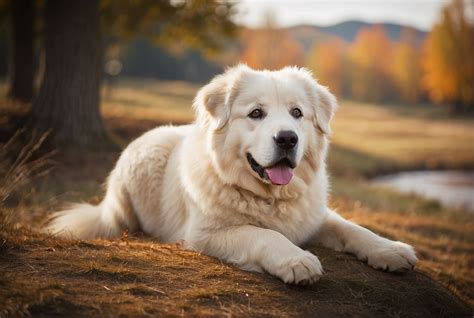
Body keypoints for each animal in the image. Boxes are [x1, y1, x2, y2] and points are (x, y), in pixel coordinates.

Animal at [48, 64, 416, 284]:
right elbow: (264, 234)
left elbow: (352, 228)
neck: (269, 197)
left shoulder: (314, 216)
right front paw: (295, 259)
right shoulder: (205, 234)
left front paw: (389, 250)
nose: (287, 138)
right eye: (256, 113)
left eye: (297, 113)